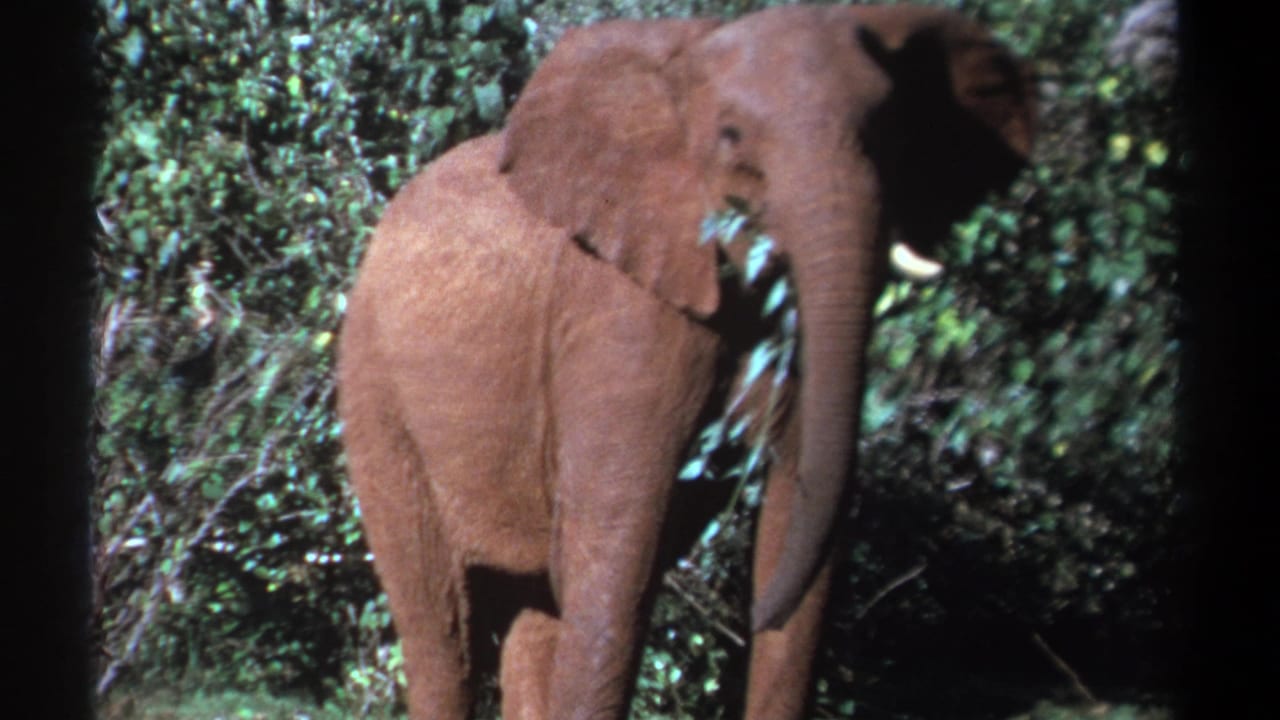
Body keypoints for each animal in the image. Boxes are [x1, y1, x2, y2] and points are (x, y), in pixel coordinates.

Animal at [336, 4, 1035, 719]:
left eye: (890, 133)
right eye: (731, 136)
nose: (750, 618)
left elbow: (799, 517)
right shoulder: (619, 305)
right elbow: (620, 549)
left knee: (533, 612)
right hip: (374, 395)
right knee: (443, 629)